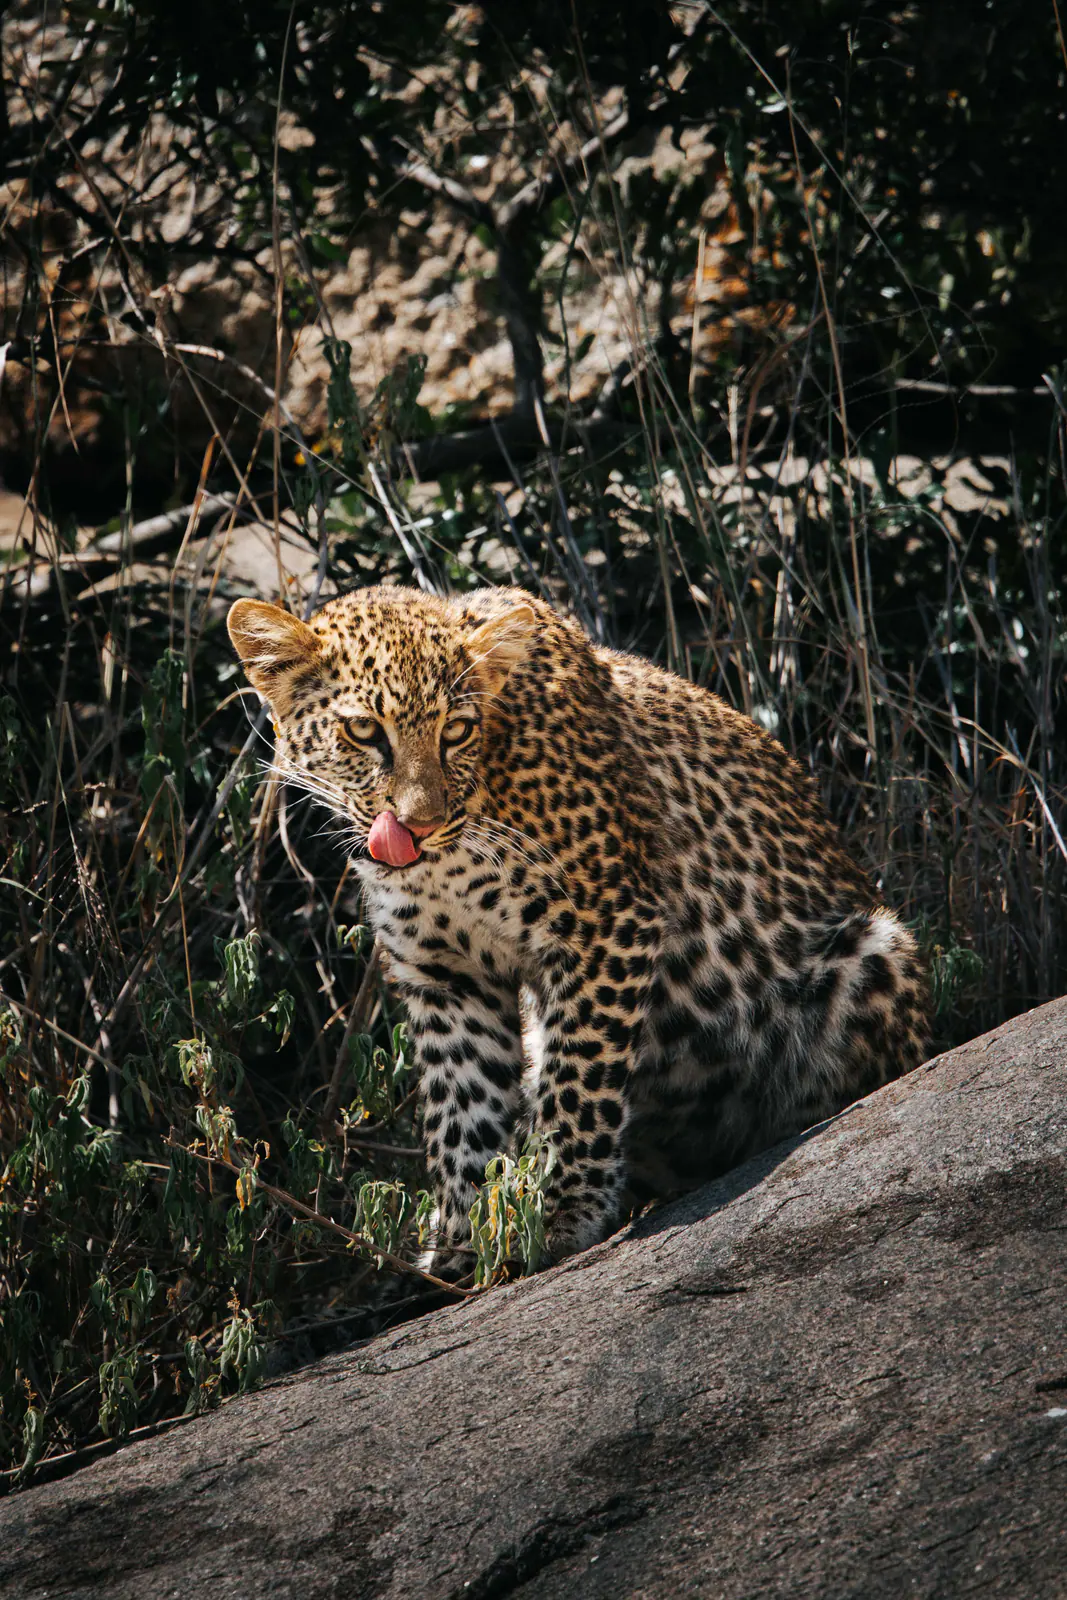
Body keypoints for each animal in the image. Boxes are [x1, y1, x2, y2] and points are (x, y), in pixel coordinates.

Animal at [228, 585, 929, 1277]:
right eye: (363, 731)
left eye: (456, 730)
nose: (419, 825)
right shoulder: (445, 973)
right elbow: (463, 1104)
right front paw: (463, 1239)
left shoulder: (604, 922)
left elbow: (579, 1078)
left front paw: (562, 1212)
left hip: (871, 952)